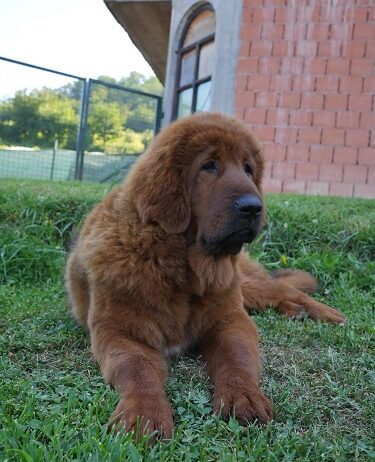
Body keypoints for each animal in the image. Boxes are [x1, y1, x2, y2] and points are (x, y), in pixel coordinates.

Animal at [66, 112, 348, 436]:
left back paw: (327, 313)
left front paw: (243, 396)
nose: (254, 208)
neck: (181, 269)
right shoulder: (118, 332)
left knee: (286, 289)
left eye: (248, 169)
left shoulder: (231, 318)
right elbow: (136, 368)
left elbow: (235, 357)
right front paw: (144, 413)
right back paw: (294, 312)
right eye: (208, 166)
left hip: (245, 286)